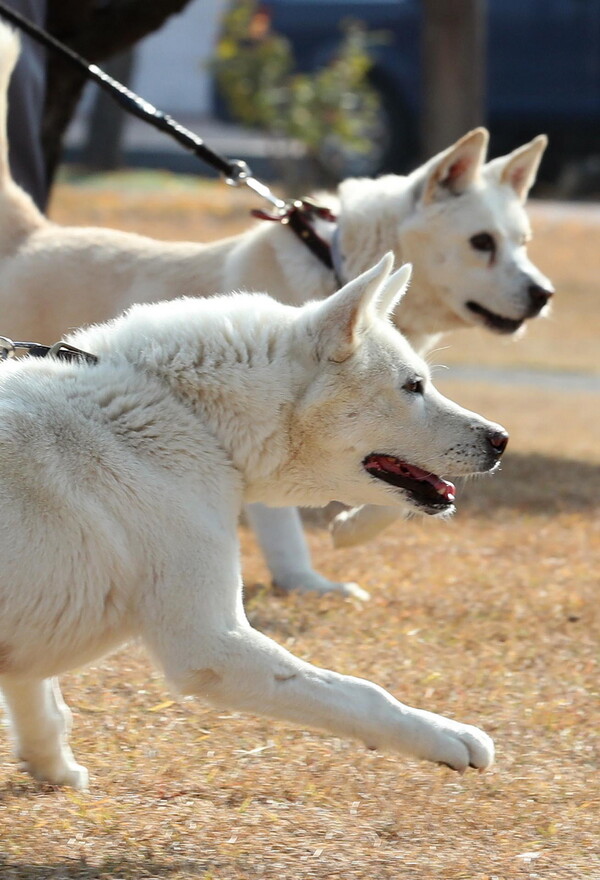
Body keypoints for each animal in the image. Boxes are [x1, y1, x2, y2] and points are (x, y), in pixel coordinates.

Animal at [0, 22, 548, 600]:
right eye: (482, 243)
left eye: (522, 242)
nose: (543, 294)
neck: (333, 264)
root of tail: (30, 234)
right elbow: (289, 524)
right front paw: (308, 580)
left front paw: (351, 529)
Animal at [0, 256, 510, 792]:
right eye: (414, 386)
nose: (502, 440)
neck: (183, 411)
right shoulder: (212, 645)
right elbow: (362, 693)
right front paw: (447, 736)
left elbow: (43, 707)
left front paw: (55, 773)